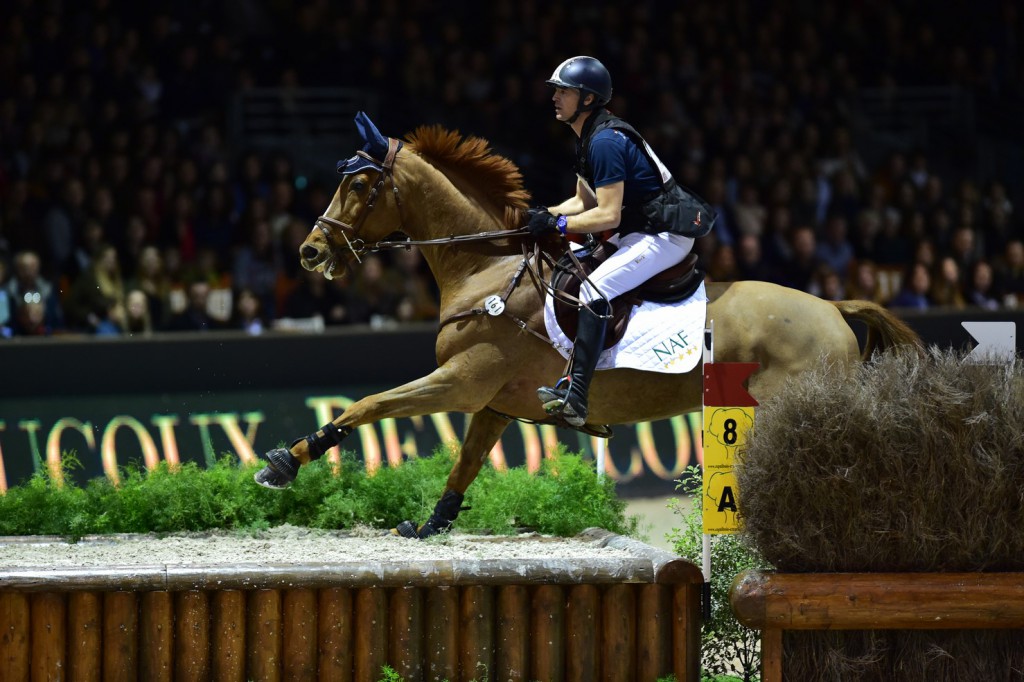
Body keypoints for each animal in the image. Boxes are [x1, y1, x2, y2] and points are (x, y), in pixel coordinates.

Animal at [253, 111, 921, 536]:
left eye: (361, 184)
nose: (310, 252)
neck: (486, 269)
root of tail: (834, 309)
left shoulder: (461, 382)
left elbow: (367, 404)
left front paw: (284, 462)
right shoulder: (494, 402)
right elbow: (464, 463)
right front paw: (432, 525)